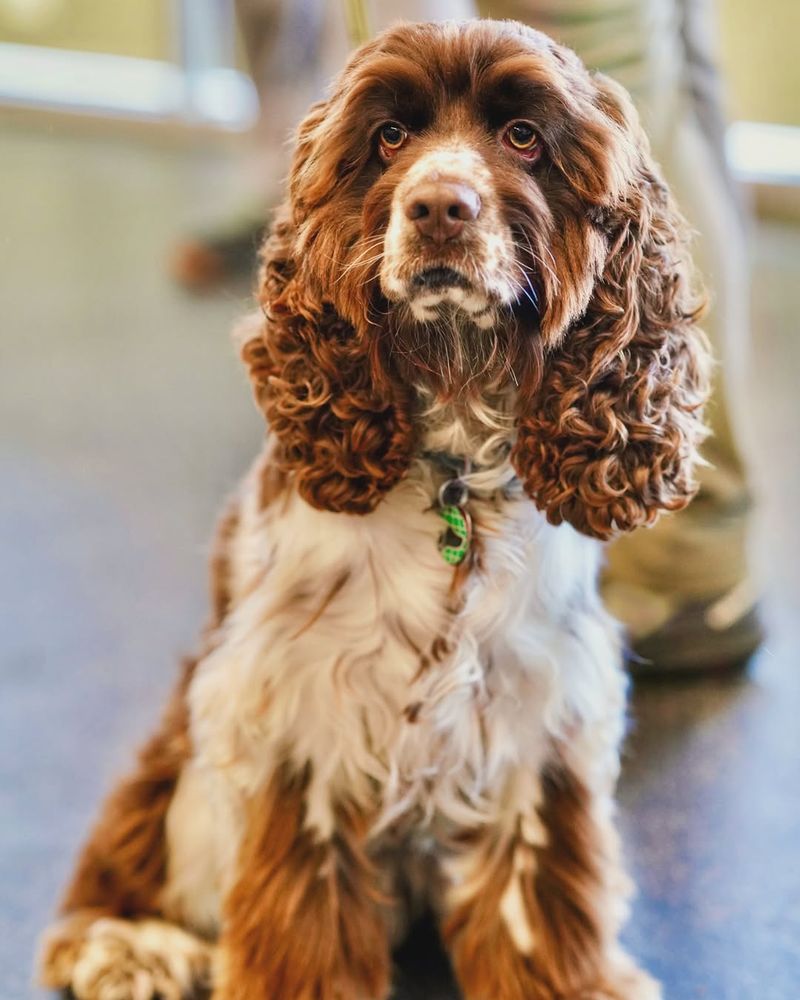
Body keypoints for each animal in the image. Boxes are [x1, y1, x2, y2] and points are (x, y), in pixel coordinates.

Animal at [40, 17, 708, 1000]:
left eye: (524, 137)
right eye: (390, 137)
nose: (439, 208)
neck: (454, 466)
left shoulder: (537, 724)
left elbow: (538, 914)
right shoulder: (297, 720)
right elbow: (304, 924)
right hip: (187, 755)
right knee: (121, 852)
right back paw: (132, 946)